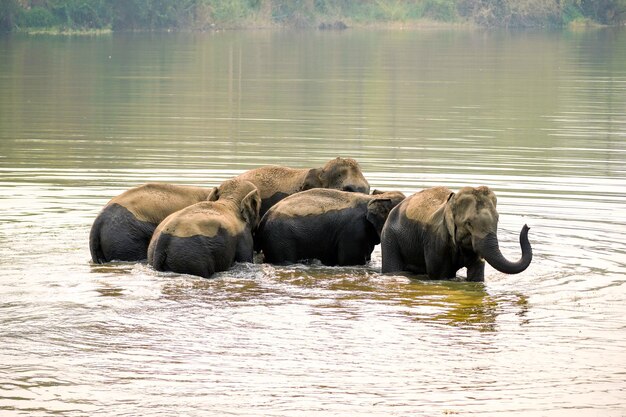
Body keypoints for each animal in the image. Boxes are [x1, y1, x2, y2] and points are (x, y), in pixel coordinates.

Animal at [380, 184, 532, 280]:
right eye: (468, 223)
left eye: (497, 219)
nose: (527, 226)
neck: (450, 204)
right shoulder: (435, 240)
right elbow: (441, 275)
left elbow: (477, 273)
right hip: (389, 237)